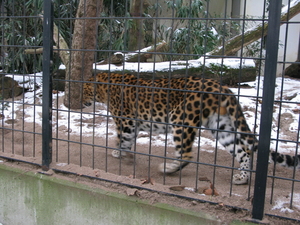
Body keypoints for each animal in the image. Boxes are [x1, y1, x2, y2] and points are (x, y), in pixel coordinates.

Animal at [82, 72, 300, 185]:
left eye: (83, 90)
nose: (76, 100)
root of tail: (221, 87)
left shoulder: (125, 120)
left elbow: (123, 138)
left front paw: (118, 152)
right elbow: (128, 139)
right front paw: (122, 153)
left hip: (181, 120)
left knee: (186, 153)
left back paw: (168, 168)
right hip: (221, 126)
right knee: (244, 151)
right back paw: (242, 178)